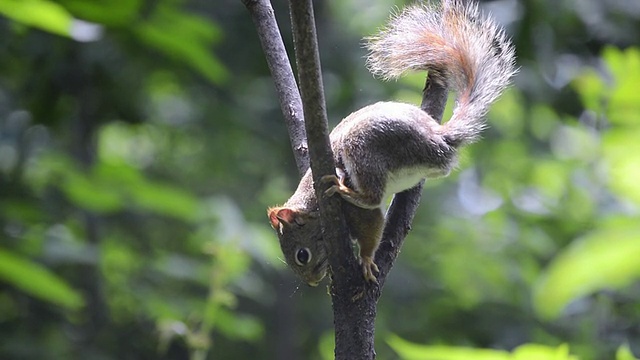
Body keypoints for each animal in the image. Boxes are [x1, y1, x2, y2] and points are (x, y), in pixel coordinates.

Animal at [268, 0, 516, 286]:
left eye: (302, 255)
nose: (312, 282)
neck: (311, 204)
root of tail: (438, 138)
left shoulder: (350, 212)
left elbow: (372, 224)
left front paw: (365, 260)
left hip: (366, 146)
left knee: (372, 196)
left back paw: (347, 190)